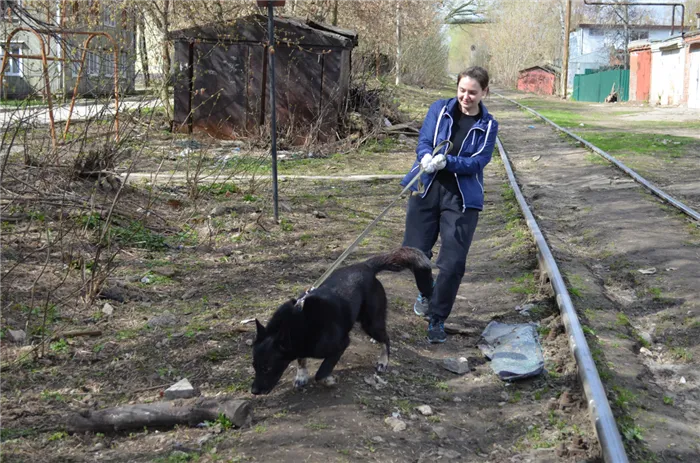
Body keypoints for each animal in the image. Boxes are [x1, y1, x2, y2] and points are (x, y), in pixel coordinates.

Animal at [252, 246, 432, 396]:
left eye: (267, 368)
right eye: (254, 366)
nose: (253, 391)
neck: (300, 321)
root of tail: (366, 266)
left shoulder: (341, 344)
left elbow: (321, 372)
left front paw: (329, 380)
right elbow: (301, 359)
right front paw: (301, 375)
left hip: (371, 323)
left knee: (386, 339)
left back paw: (383, 361)